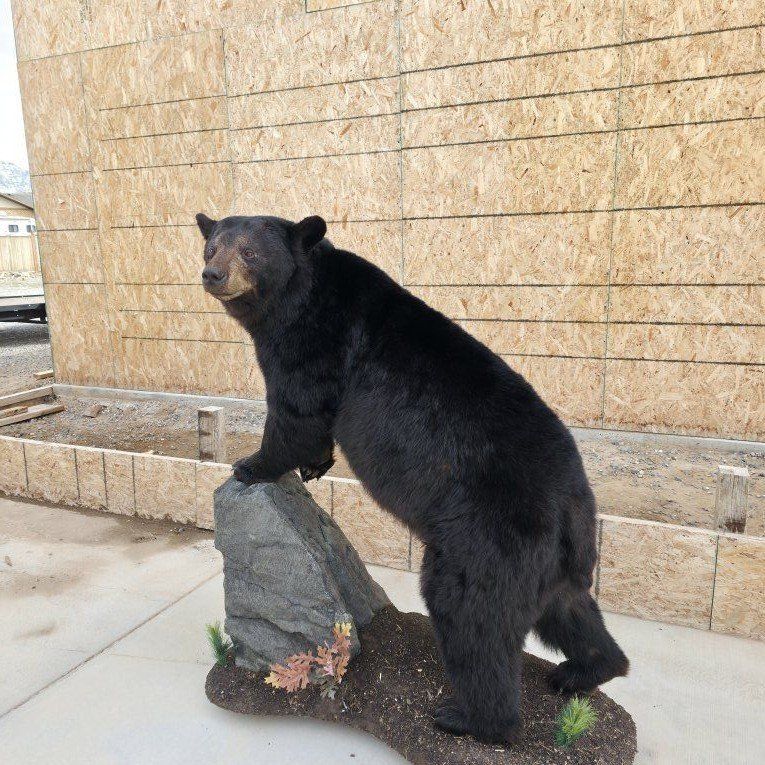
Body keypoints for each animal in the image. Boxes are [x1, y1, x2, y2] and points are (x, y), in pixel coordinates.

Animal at [196, 212, 629, 744]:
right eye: (211, 246)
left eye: (250, 251)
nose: (213, 274)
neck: (297, 298)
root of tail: (575, 506)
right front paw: (313, 466)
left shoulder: (314, 339)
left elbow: (297, 408)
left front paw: (251, 465)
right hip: (554, 562)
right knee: (569, 609)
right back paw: (585, 670)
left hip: (490, 536)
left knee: (470, 616)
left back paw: (469, 718)